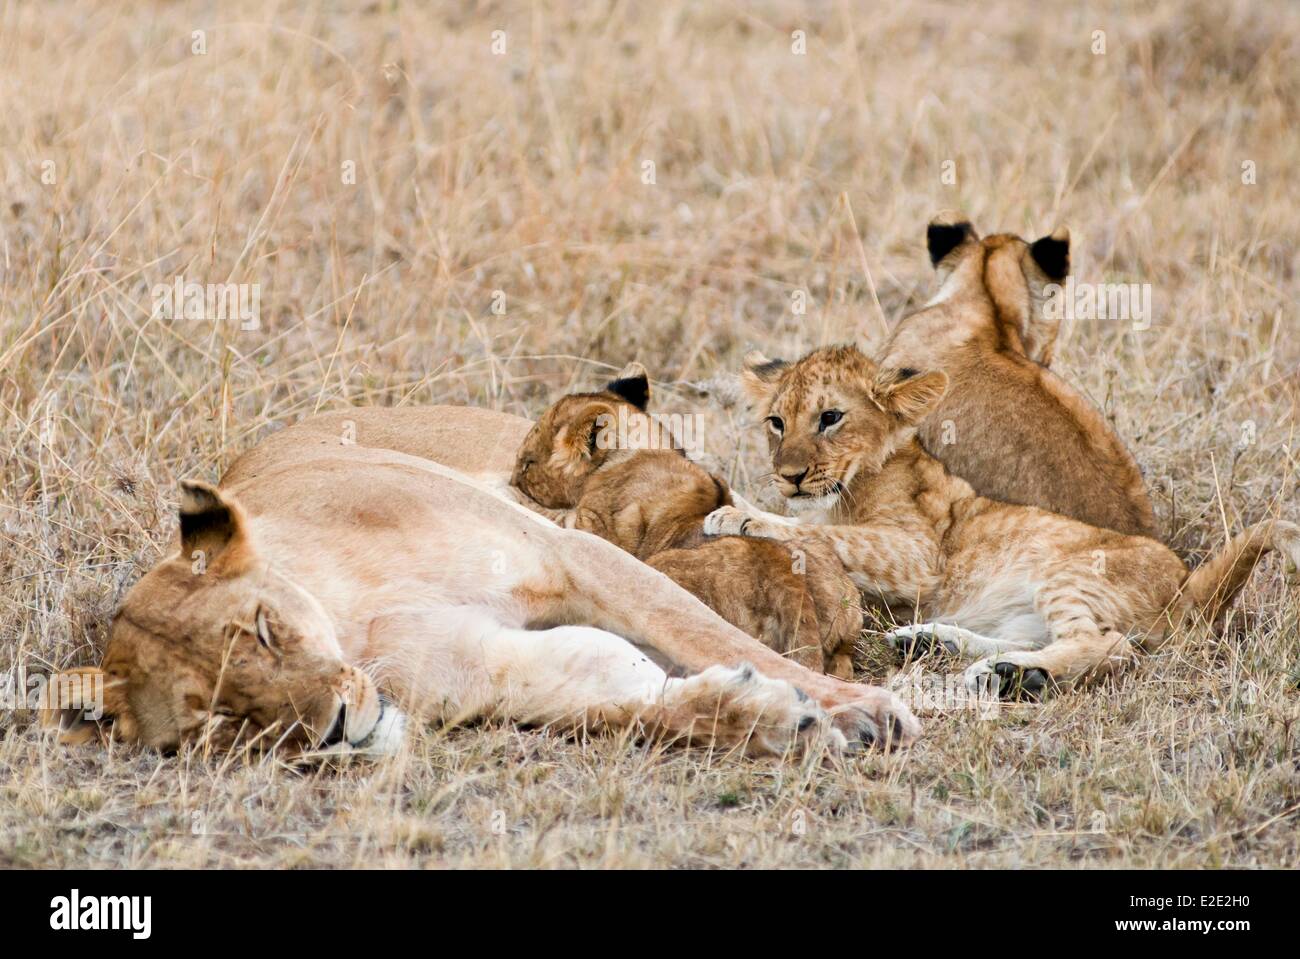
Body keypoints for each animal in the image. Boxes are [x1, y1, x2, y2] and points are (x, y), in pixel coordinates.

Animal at [43, 404, 920, 757]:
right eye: (221, 721)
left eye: (261, 627)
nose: (333, 728)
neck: (345, 614)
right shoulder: (491, 670)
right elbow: (636, 700)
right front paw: (775, 721)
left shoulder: (571, 552)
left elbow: (712, 634)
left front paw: (861, 708)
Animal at [511, 364, 862, 677]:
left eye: (528, 464)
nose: (515, 476)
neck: (643, 449)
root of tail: (791, 583)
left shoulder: (597, 526)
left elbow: (550, 513)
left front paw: (511, 492)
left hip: (661, 570)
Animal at [705, 345, 1299, 697]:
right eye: (776, 422)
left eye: (830, 418)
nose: (789, 476)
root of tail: (1189, 584)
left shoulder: (918, 555)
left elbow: (821, 534)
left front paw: (737, 516)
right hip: (1026, 610)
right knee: (1038, 638)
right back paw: (939, 645)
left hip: (1070, 573)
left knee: (1109, 646)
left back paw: (1018, 676)